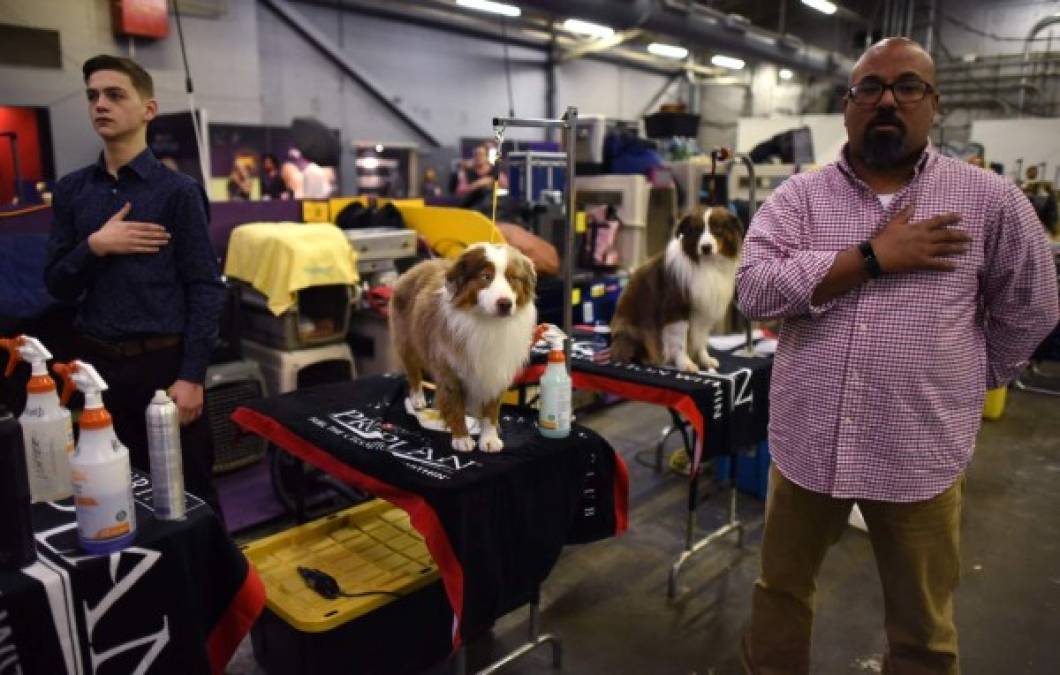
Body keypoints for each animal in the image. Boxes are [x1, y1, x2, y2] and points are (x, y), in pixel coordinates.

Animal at [390, 242, 538, 453]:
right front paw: (461, 438)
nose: (505, 304)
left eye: (513, 278)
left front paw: (489, 438)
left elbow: (491, 409)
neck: (487, 322)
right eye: (486, 277)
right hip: (406, 341)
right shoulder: (449, 368)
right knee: (413, 371)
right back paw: (417, 398)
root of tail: (420, 265)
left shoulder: (495, 370)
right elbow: (455, 404)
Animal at [610, 207, 741, 370]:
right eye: (697, 230)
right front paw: (685, 363)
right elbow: (680, 339)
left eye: (717, 229)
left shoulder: (704, 310)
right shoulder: (676, 307)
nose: (706, 248)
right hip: (633, 329)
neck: (706, 264)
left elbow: (701, 338)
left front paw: (704, 360)